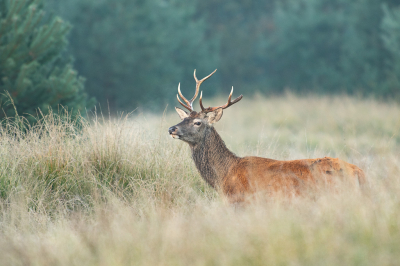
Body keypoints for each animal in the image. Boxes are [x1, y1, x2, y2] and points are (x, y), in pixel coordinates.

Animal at [167, 69, 368, 203]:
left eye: (198, 122)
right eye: (184, 118)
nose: (172, 129)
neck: (224, 176)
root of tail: (360, 173)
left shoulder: (242, 202)